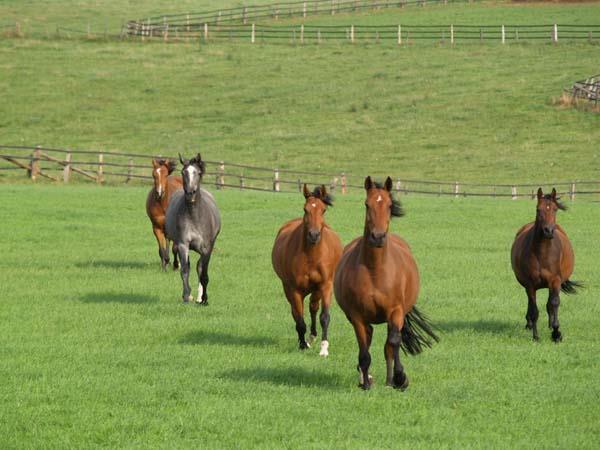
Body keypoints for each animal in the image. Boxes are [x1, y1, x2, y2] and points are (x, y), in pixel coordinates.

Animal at [164, 153, 220, 304]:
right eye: (183, 172)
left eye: (198, 173)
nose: (190, 193)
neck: (195, 217)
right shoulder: (183, 244)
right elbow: (184, 270)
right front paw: (186, 296)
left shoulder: (207, 248)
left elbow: (204, 273)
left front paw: (204, 299)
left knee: (199, 267)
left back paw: (200, 297)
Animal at [272, 183, 342, 356]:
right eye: (305, 209)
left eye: (323, 210)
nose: (314, 235)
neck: (311, 256)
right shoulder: (294, 290)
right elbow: (299, 319)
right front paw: (302, 345)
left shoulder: (325, 285)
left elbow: (324, 316)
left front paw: (324, 348)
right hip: (288, 288)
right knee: (297, 312)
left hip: (316, 290)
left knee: (313, 308)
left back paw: (312, 337)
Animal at [332, 176, 436, 390]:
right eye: (366, 204)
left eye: (388, 205)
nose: (378, 237)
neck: (375, 272)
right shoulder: (357, 316)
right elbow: (364, 350)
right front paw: (366, 384)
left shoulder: (395, 312)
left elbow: (393, 342)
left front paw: (400, 378)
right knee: (369, 338)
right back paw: (366, 377)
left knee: (389, 345)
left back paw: (390, 380)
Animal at [510, 186, 580, 342]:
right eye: (538, 209)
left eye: (555, 209)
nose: (548, 231)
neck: (542, 253)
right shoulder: (530, 284)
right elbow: (534, 310)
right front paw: (536, 336)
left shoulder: (555, 281)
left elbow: (554, 303)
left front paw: (556, 333)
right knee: (531, 304)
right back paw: (529, 324)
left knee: (550, 305)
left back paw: (549, 325)